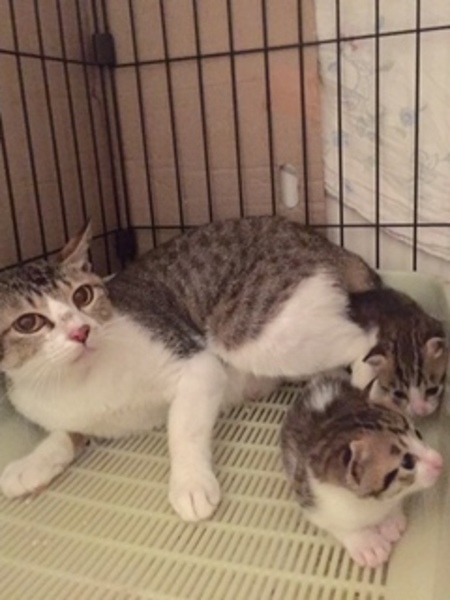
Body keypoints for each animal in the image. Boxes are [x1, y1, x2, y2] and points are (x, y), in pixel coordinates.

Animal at [280, 372, 443, 568]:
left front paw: (390, 520)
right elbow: (339, 525)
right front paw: (367, 544)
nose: (439, 460)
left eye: (418, 434)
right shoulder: (310, 500)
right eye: (408, 461)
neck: (370, 503)